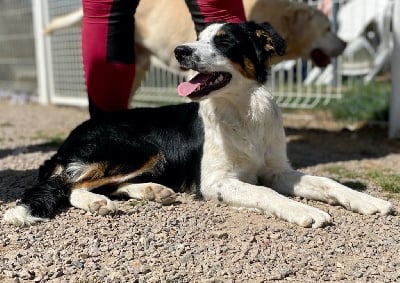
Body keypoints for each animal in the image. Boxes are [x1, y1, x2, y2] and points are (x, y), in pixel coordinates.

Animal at [4, 22, 392, 229]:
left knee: (105, 184)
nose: (180, 51)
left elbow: (328, 182)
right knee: (69, 184)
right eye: (198, 36)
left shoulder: (279, 171)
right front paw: (304, 211)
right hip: (140, 148)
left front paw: (368, 201)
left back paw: (152, 191)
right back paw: (98, 202)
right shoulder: (217, 182)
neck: (242, 111)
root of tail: (72, 135)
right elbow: (265, 194)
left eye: (224, 40)